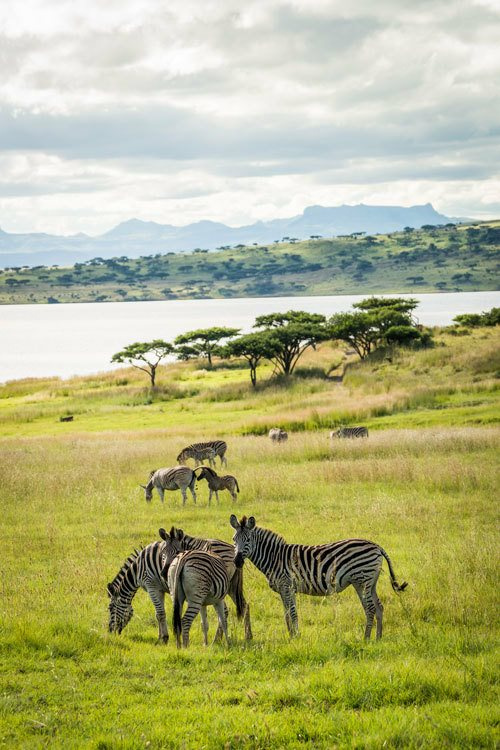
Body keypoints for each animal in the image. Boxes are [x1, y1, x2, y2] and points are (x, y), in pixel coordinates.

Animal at [229, 516, 406, 640]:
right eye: (234, 539)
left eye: (248, 540)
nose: (237, 561)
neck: (275, 558)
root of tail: (376, 546)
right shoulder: (282, 590)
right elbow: (286, 614)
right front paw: (290, 636)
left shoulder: (287, 586)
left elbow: (292, 612)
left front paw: (297, 637)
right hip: (370, 583)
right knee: (378, 607)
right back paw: (378, 637)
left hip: (362, 581)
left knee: (370, 608)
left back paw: (366, 638)